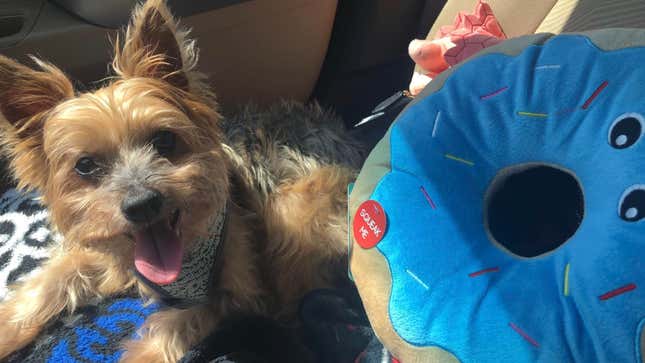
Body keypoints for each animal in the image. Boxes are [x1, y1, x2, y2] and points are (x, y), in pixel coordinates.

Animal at [0, 1, 362, 362]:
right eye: (85, 166)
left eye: (165, 140)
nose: (142, 204)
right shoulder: (106, 253)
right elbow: (52, 280)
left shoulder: (239, 290)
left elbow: (176, 326)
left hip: (295, 210)